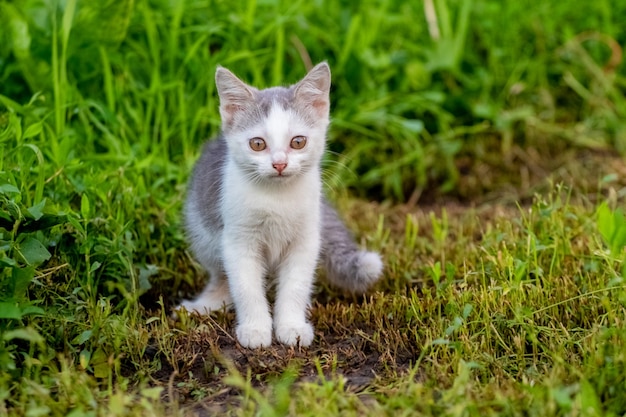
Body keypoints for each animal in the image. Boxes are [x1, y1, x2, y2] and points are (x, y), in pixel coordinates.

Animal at [176, 61, 380, 348]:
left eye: (298, 142)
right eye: (257, 144)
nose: (280, 163)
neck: (277, 198)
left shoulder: (305, 239)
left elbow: (295, 286)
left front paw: (291, 326)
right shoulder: (239, 240)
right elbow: (246, 287)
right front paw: (255, 329)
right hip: (204, 234)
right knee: (221, 276)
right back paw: (205, 304)